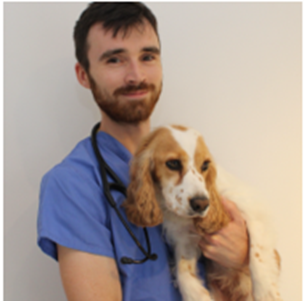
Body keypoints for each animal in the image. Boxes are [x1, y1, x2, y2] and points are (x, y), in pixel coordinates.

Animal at [123, 124, 282, 300]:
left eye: (205, 165)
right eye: (173, 163)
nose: (202, 204)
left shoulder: (252, 208)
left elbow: (258, 254)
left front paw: (266, 293)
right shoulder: (184, 238)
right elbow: (183, 273)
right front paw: (198, 296)